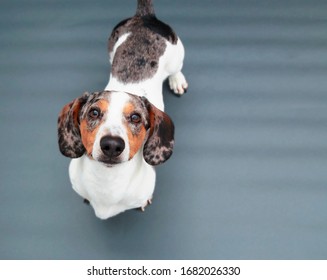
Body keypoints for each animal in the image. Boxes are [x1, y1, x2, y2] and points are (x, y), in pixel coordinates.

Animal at [57, 0, 188, 219]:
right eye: (94, 112)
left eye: (135, 117)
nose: (111, 145)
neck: (108, 183)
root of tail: (145, 17)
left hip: (177, 55)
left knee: (176, 69)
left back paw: (177, 80)